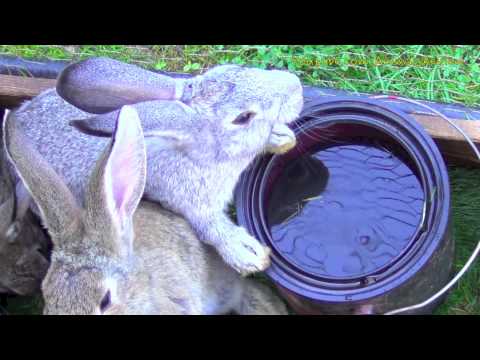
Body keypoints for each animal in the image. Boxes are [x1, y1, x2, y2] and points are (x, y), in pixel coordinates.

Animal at [8, 57, 304, 274]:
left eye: (236, 68)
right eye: (243, 117)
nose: (297, 86)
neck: (200, 152)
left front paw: (281, 138)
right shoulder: (193, 205)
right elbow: (213, 229)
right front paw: (249, 254)